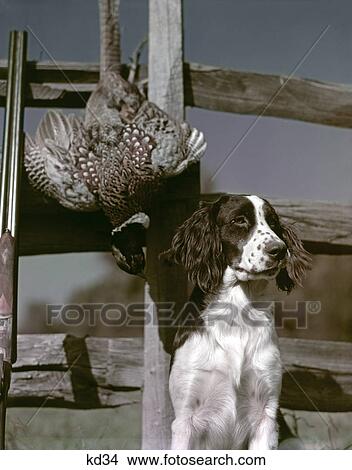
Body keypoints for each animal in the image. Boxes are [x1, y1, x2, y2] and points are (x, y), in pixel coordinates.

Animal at [164, 194, 310, 448]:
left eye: (274, 223)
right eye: (239, 220)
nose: (280, 250)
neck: (237, 315)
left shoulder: (266, 416)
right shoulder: (185, 418)